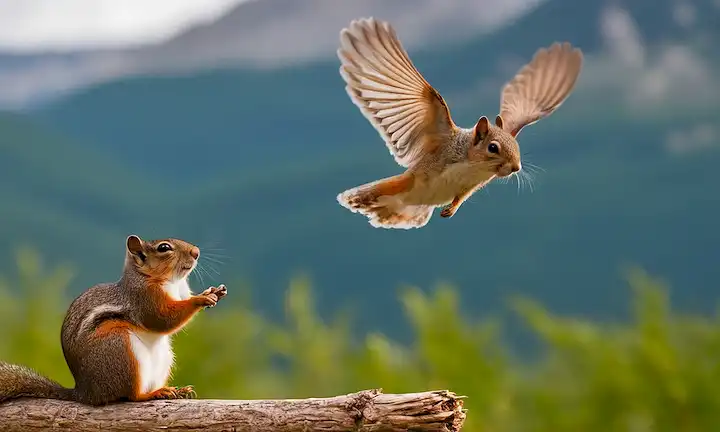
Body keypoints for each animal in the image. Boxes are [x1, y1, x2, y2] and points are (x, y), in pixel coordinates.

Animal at [0, 234, 227, 406]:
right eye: (164, 248)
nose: (196, 252)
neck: (170, 282)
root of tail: (86, 393)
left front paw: (214, 292)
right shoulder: (144, 299)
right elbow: (162, 319)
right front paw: (200, 299)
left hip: (164, 357)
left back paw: (175, 390)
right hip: (120, 348)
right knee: (132, 396)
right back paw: (153, 394)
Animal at [335, 17, 583, 229]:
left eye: (517, 147)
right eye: (493, 147)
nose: (516, 168)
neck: (475, 164)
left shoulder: (469, 187)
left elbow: (460, 197)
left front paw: (451, 209)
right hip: (411, 180)